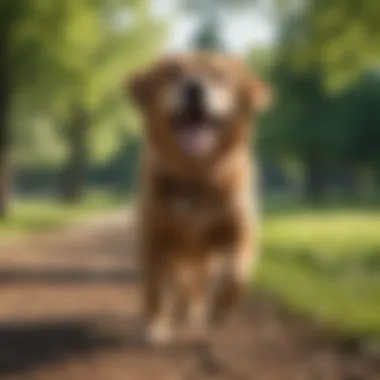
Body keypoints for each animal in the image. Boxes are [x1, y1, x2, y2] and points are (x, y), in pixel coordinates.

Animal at [127, 52, 270, 346]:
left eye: (219, 76)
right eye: (173, 73)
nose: (194, 87)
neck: (197, 175)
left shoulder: (240, 229)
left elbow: (237, 274)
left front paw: (220, 309)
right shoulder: (154, 238)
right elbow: (155, 288)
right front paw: (156, 326)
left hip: (203, 257)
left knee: (198, 283)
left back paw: (196, 310)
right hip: (179, 256)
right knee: (179, 285)